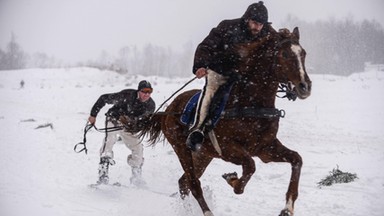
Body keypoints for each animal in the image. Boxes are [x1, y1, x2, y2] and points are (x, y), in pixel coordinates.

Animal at [141, 27, 312, 216]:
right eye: (285, 54)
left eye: (303, 53)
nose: (305, 86)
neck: (249, 103)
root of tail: (169, 109)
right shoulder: (227, 148)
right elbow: (250, 166)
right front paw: (232, 179)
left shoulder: (265, 148)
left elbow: (296, 159)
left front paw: (287, 208)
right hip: (181, 149)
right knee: (193, 184)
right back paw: (207, 212)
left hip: (203, 155)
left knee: (183, 183)